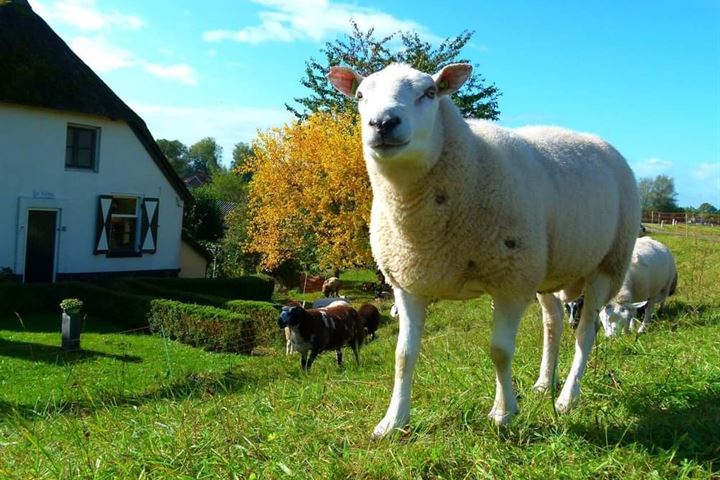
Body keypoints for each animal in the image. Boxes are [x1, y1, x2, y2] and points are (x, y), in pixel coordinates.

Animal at [328, 62, 640, 438]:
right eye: (360, 96)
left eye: (429, 93)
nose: (383, 123)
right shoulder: (407, 283)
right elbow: (403, 355)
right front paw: (392, 421)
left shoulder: (510, 281)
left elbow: (500, 351)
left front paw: (504, 413)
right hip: (545, 266)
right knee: (553, 323)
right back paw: (544, 384)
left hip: (607, 263)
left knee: (585, 332)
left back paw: (568, 397)